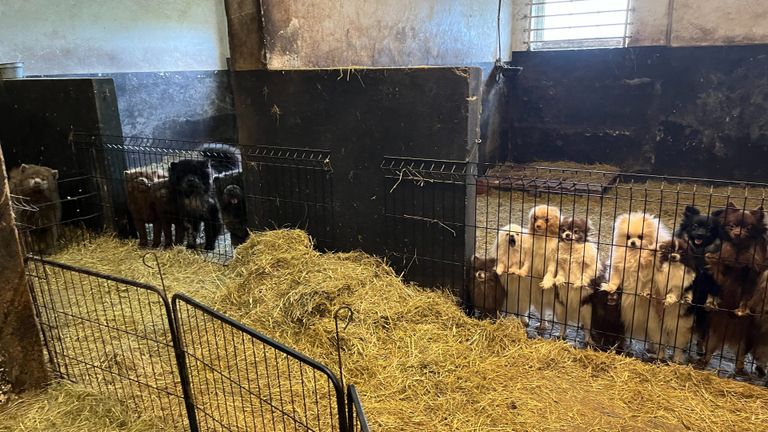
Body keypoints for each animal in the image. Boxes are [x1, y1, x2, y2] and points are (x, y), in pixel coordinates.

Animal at [604, 212, 668, 352]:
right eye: (628, 237)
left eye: (640, 237)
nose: (632, 242)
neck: (634, 255)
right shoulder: (618, 268)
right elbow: (615, 279)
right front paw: (610, 287)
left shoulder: (651, 273)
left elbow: (649, 283)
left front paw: (646, 292)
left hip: (654, 326)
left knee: (660, 345)